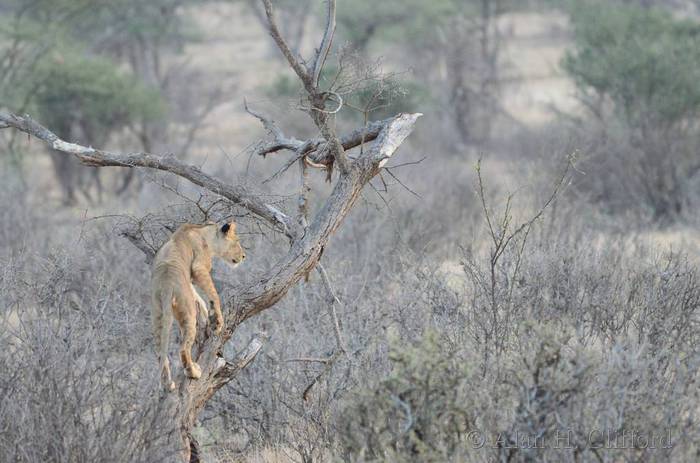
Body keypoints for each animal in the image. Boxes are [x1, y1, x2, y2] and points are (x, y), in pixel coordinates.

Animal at [151, 221, 245, 391]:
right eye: (237, 241)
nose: (244, 256)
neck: (205, 233)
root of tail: (166, 285)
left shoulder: (190, 280)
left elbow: (199, 297)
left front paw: (207, 315)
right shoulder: (199, 268)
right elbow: (213, 294)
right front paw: (217, 322)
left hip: (157, 315)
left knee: (161, 354)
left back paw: (168, 384)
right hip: (187, 311)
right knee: (183, 348)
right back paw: (193, 371)